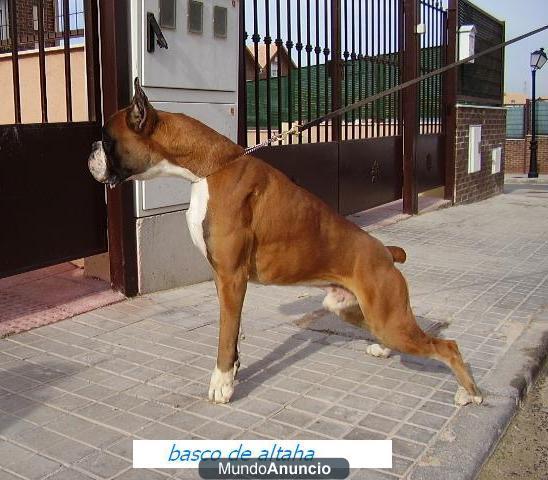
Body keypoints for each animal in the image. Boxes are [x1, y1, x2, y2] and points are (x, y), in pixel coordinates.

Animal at [89, 79, 484, 408]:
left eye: (107, 139)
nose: (91, 148)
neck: (209, 169)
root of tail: (385, 252)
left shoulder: (231, 278)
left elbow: (224, 336)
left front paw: (221, 383)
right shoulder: (229, 283)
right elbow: (233, 334)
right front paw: (234, 371)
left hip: (388, 317)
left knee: (447, 346)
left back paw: (471, 394)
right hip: (351, 308)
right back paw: (382, 351)